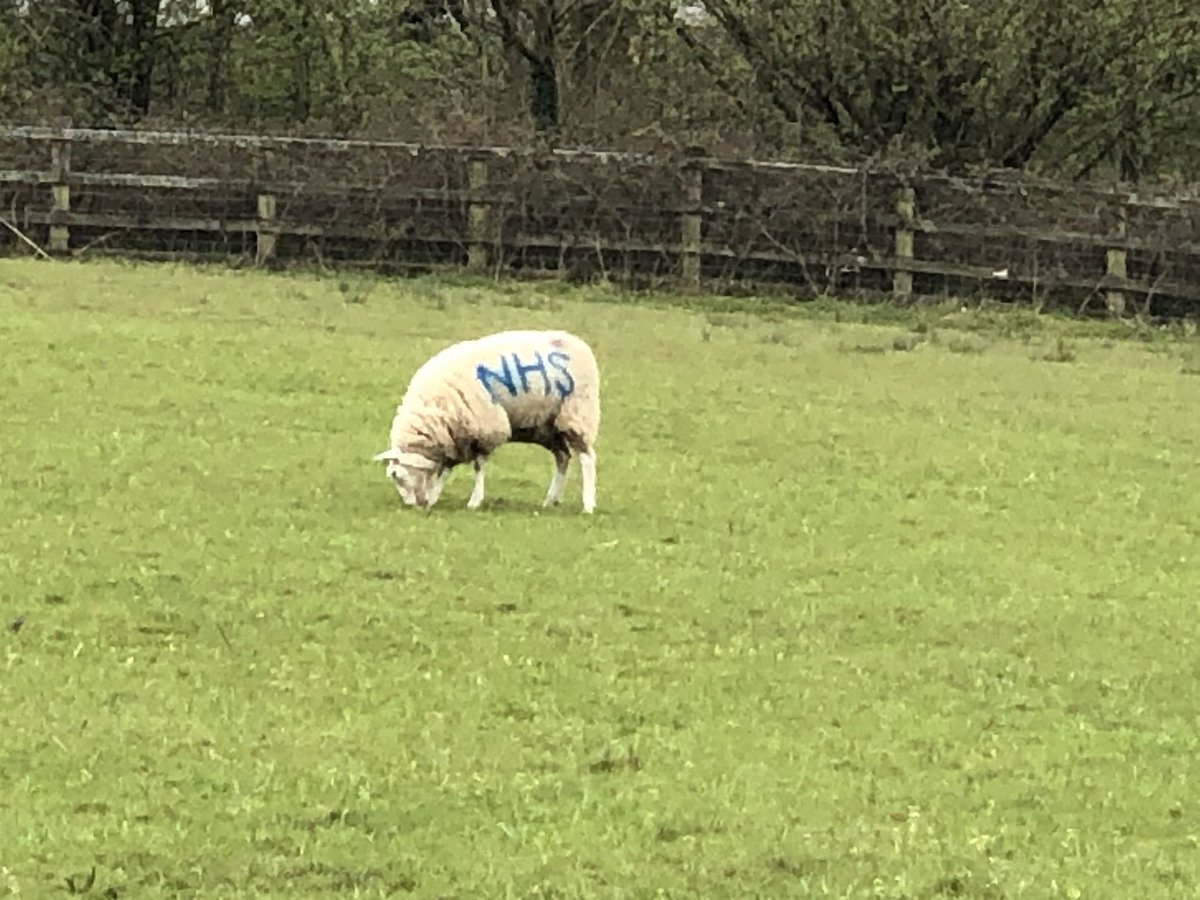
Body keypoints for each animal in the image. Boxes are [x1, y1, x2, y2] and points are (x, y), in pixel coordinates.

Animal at [372, 329, 601, 513]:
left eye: (396, 475)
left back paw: (588, 505)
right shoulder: (455, 436)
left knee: (587, 458)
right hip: (547, 427)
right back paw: (550, 500)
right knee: (562, 457)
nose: (409, 506)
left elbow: (478, 465)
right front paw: (433, 497)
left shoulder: (484, 429)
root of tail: (579, 343)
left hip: (577, 414)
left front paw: (474, 501)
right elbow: (446, 468)